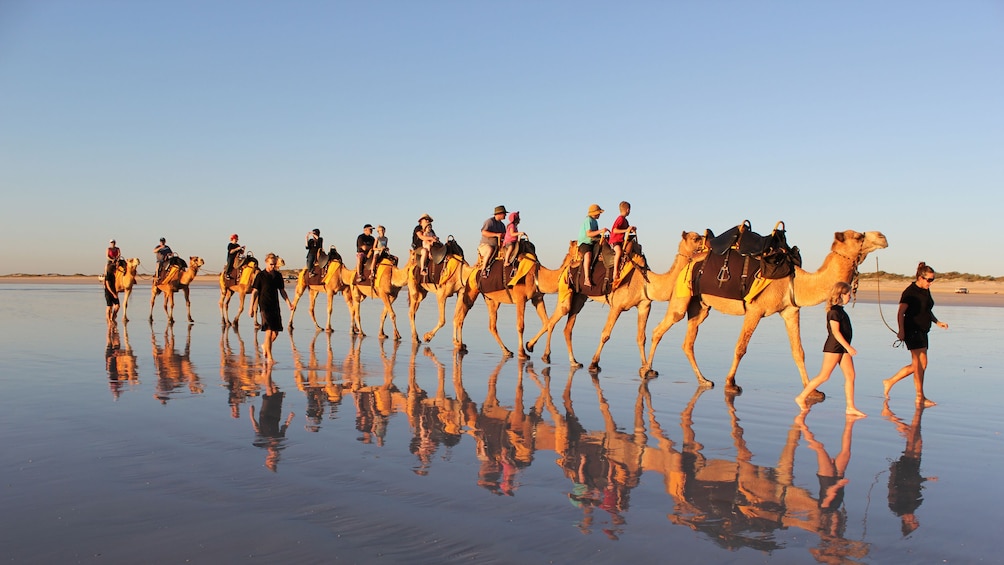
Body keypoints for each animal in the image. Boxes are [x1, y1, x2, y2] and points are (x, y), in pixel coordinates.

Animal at [526, 230, 706, 371]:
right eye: (695, 238)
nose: (707, 242)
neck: (646, 281)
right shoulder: (617, 306)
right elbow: (605, 334)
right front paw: (594, 363)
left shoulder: (644, 305)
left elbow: (641, 337)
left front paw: (646, 368)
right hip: (567, 290)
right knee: (553, 319)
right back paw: (540, 352)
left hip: (580, 297)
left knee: (567, 328)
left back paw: (573, 361)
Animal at [642, 229, 887, 393]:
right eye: (859, 236)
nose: (882, 236)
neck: (794, 279)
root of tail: (688, 262)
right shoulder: (755, 309)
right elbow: (741, 347)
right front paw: (731, 384)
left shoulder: (791, 311)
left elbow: (799, 351)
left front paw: (812, 389)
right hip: (682, 297)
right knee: (659, 329)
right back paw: (646, 371)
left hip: (701, 305)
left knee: (688, 341)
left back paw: (703, 380)